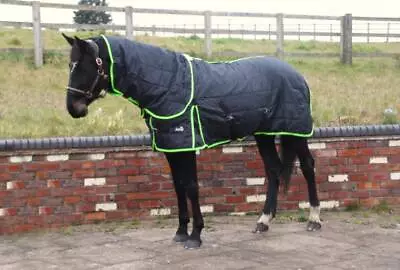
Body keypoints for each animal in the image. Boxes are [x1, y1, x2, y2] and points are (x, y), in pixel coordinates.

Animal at [61, 33, 322, 249]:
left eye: (84, 65)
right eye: (70, 65)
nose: (74, 108)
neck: (167, 84)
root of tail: (297, 75)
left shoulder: (187, 145)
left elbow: (191, 186)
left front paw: (195, 236)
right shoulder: (171, 146)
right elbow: (178, 186)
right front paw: (180, 232)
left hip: (295, 132)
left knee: (308, 166)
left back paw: (314, 219)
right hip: (264, 134)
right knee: (274, 170)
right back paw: (263, 221)